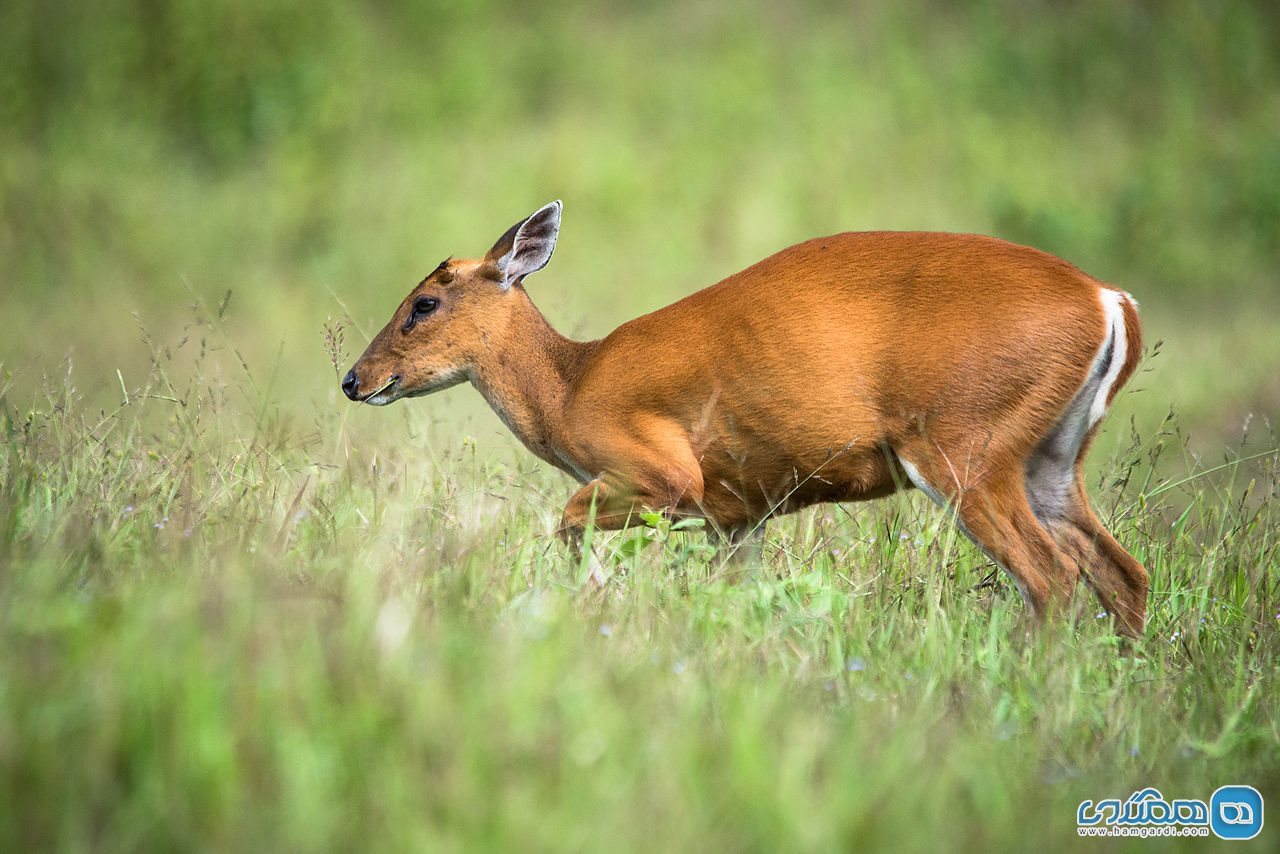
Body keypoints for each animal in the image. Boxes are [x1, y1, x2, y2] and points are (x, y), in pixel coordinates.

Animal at [340, 202, 1152, 635]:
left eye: (422, 303)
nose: (354, 379)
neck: (570, 388)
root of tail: (1111, 301)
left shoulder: (662, 472)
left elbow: (566, 520)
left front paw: (594, 602)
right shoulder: (738, 514)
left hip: (964, 443)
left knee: (1051, 576)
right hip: (1051, 455)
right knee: (1123, 571)